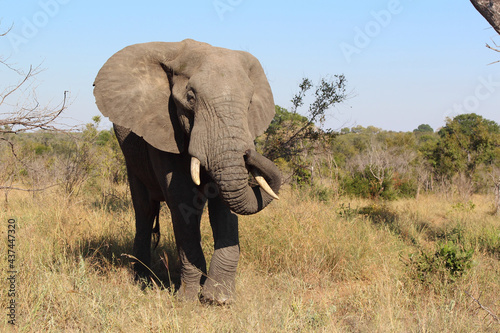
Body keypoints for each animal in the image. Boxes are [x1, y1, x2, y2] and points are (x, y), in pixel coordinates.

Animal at [94, 39, 282, 304]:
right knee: (144, 209)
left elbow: (223, 205)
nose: (248, 153)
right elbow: (182, 200)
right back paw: (142, 279)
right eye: (190, 98)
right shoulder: (163, 127)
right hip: (132, 159)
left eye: (249, 103)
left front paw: (218, 299)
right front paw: (189, 299)